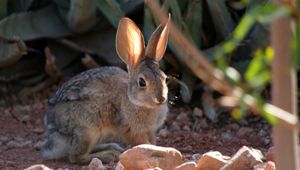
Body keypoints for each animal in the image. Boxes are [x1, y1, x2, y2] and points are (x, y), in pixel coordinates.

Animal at [36, 16, 170, 164]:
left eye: (165, 78)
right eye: (142, 82)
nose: (161, 98)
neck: (134, 100)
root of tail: (53, 131)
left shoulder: (150, 131)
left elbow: (151, 142)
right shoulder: (130, 129)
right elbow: (142, 143)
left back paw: (112, 147)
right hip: (87, 131)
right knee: (75, 157)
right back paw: (109, 155)